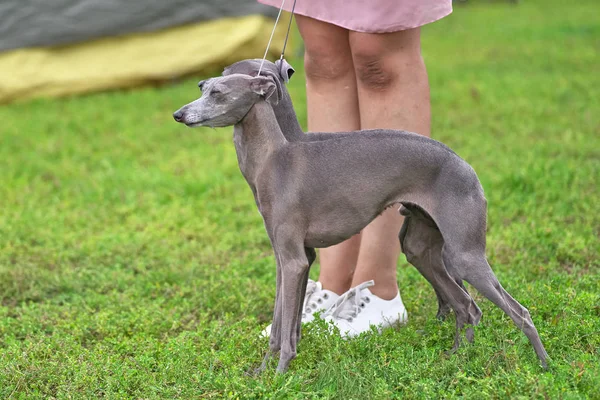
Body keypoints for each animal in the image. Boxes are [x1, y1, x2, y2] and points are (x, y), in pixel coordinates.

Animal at [173, 64, 548, 374]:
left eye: (218, 92)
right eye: (202, 86)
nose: (178, 114)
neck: (273, 159)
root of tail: (465, 165)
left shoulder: (293, 259)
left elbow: (286, 328)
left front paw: (278, 376)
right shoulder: (290, 259)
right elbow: (282, 325)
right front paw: (263, 371)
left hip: (464, 254)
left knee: (519, 312)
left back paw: (544, 366)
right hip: (421, 247)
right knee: (467, 306)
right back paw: (457, 359)